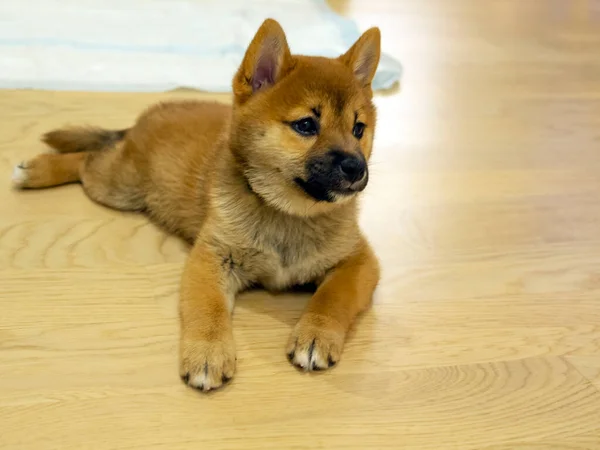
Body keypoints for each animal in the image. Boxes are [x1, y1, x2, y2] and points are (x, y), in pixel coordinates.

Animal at [14, 18, 382, 390]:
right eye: (306, 125)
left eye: (358, 128)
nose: (356, 167)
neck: (287, 214)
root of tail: (149, 115)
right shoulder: (211, 257)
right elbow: (208, 309)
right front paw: (207, 352)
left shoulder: (358, 260)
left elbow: (333, 297)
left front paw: (317, 334)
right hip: (117, 187)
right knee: (87, 159)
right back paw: (37, 171)